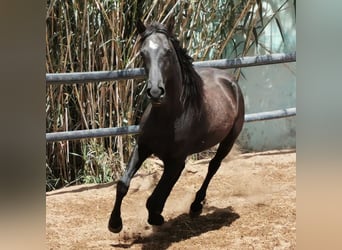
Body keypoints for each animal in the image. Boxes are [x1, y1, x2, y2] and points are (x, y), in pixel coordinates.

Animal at [108, 20, 244, 233]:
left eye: (168, 51)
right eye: (143, 53)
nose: (155, 92)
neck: (168, 117)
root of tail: (229, 80)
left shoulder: (177, 161)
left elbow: (155, 197)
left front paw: (156, 217)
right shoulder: (143, 147)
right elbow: (123, 183)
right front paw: (115, 224)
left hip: (229, 140)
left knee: (213, 166)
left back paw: (196, 205)